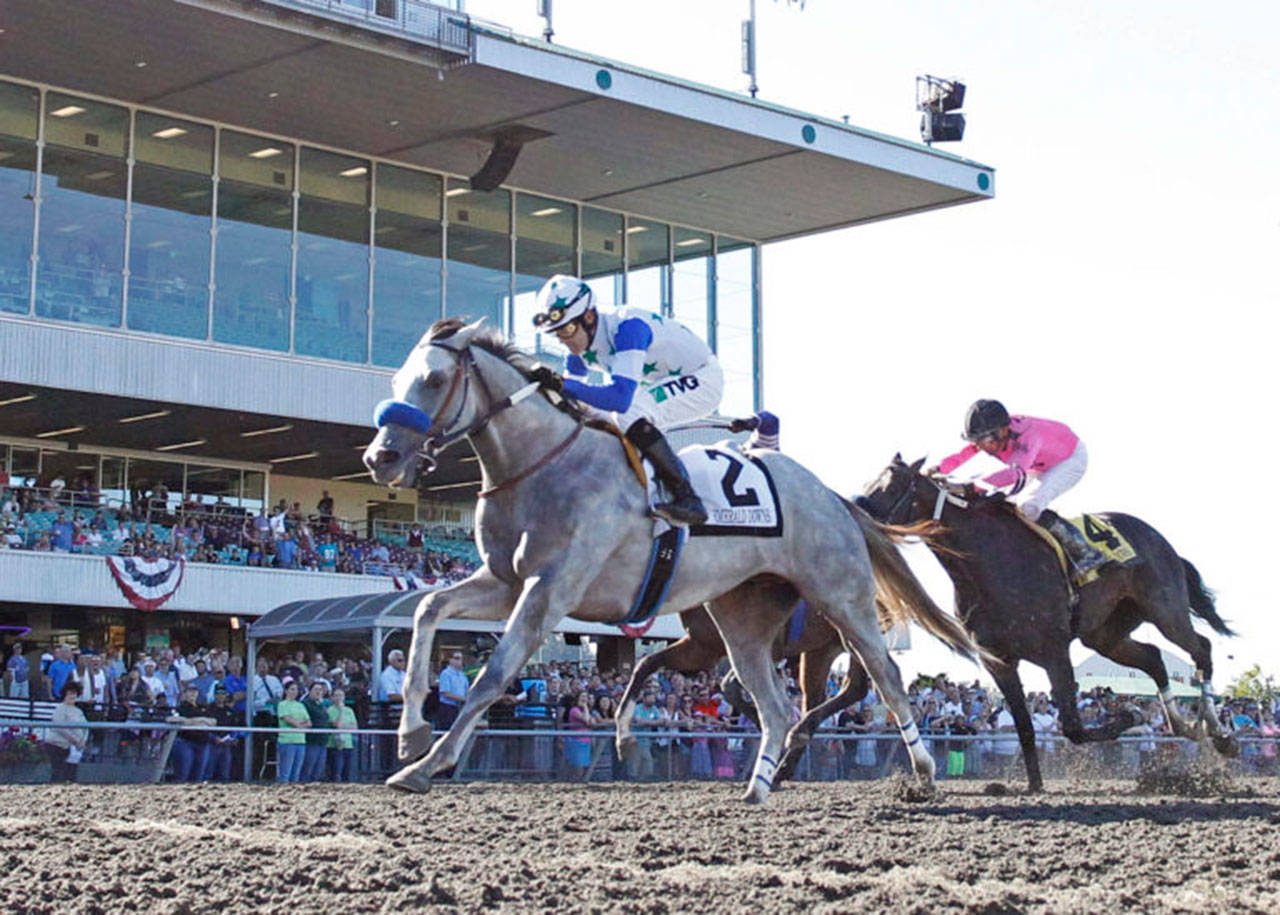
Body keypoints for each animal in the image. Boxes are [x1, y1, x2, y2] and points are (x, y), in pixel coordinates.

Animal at [363, 318, 977, 803]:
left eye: (434, 380)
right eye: (395, 381)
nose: (380, 458)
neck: (541, 466)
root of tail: (830, 495)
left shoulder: (548, 590)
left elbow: (492, 675)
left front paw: (426, 765)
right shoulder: (503, 582)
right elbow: (428, 611)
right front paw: (411, 734)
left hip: (841, 599)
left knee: (885, 676)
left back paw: (922, 773)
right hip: (741, 619)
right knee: (775, 705)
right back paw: (758, 786)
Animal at [855, 455, 1233, 793]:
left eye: (891, 487)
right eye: (870, 484)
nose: (857, 509)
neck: (987, 562)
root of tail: (1161, 541)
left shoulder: (1054, 651)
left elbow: (1072, 727)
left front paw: (1131, 717)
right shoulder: (999, 661)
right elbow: (1025, 724)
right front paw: (1033, 785)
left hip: (1165, 610)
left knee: (1201, 649)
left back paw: (1219, 733)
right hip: (1105, 634)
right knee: (1154, 657)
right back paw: (1186, 725)